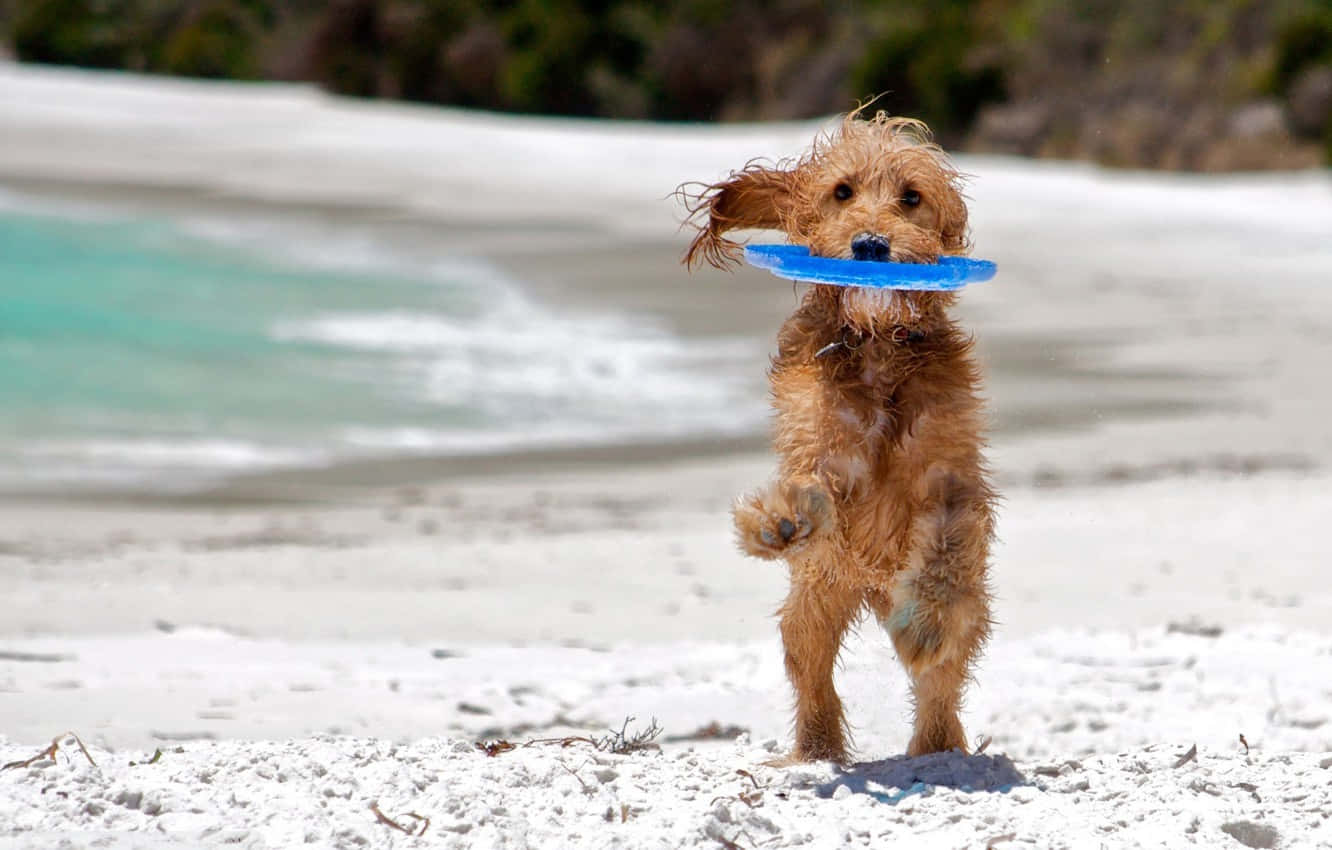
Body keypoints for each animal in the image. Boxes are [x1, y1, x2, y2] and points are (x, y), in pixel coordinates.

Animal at [681, 111, 996, 767]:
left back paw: (935, 745)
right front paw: (779, 519)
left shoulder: (951, 477)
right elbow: (811, 486)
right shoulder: (820, 447)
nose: (870, 246)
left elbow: (946, 546)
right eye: (842, 191)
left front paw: (926, 621)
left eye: (911, 197)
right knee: (811, 666)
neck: (877, 345)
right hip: (816, 598)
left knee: (942, 679)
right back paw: (816, 750)